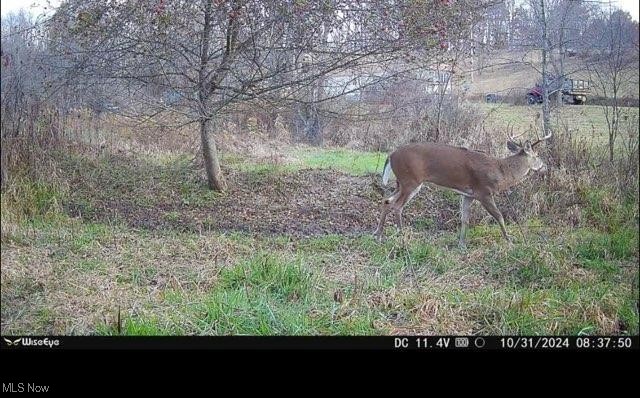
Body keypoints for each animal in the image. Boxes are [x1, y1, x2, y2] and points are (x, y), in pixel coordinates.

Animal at [376, 132, 552, 247]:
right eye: (537, 155)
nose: (545, 167)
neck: (501, 172)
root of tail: (391, 155)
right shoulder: (484, 192)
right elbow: (499, 216)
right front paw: (510, 241)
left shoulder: (468, 194)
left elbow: (464, 219)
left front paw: (461, 244)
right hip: (411, 180)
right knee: (397, 206)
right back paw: (400, 235)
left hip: (401, 182)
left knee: (386, 200)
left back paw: (378, 233)